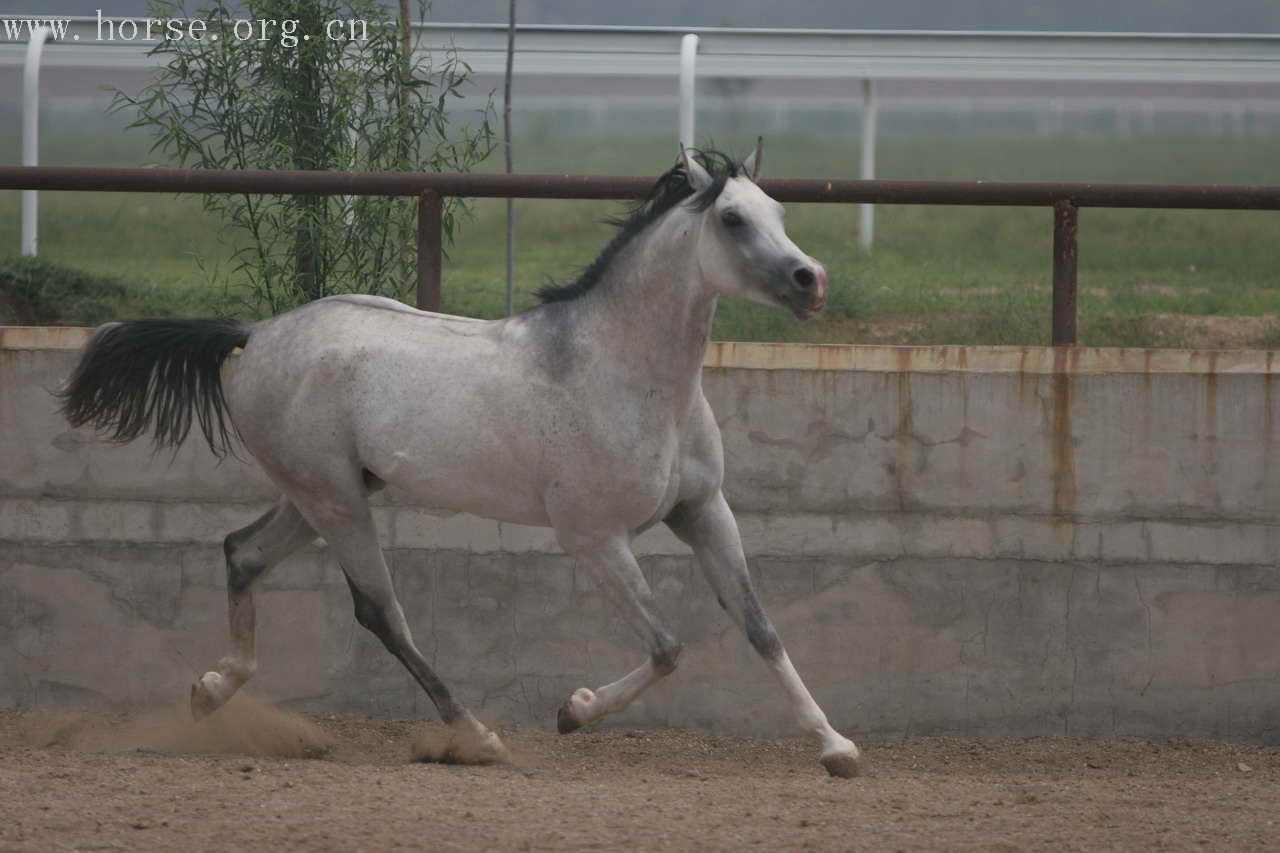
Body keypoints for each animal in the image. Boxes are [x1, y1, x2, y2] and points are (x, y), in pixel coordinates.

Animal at [60, 147, 860, 778]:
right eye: (732, 221)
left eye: (778, 210)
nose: (812, 281)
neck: (624, 372)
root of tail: (253, 335)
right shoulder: (594, 537)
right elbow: (667, 645)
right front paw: (573, 711)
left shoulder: (702, 511)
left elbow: (760, 627)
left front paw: (837, 747)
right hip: (336, 501)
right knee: (380, 612)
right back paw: (477, 736)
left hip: (321, 492)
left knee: (242, 552)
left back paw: (211, 690)